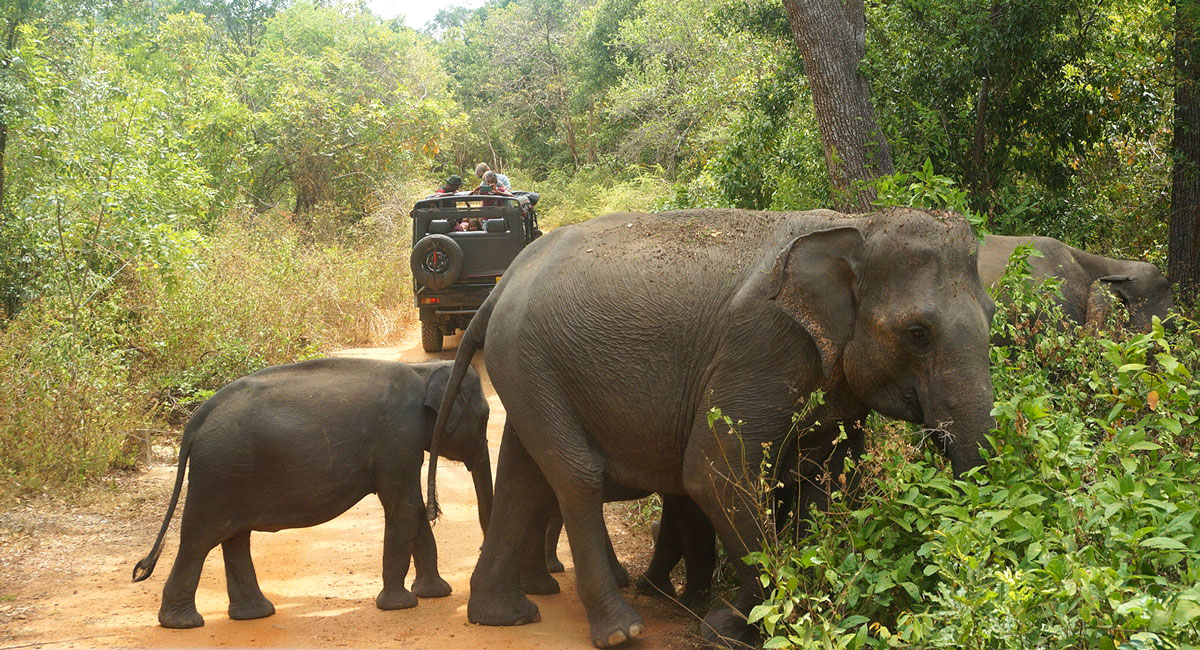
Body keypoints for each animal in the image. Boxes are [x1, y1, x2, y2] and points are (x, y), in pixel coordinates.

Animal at [132, 358, 492, 630]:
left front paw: (435, 593)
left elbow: (412, 508)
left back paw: (253, 614)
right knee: (199, 538)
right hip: (217, 472)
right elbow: (403, 507)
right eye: (484, 417)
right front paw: (400, 605)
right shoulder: (398, 437)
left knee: (234, 538)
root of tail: (195, 421)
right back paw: (183, 623)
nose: (480, 547)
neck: (424, 370)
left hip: (227, 473)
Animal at [426, 207, 996, 648]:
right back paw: (620, 630)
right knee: (575, 477)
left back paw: (503, 615)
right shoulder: (764, 345)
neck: (858, 223)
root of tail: (501, 287)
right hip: (531, 363)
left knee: (523, 476)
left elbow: (821, 477)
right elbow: (713, 469)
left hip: (526, 371)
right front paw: (733, 627)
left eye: (993, 314)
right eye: (918, 332)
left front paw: (747, 616)